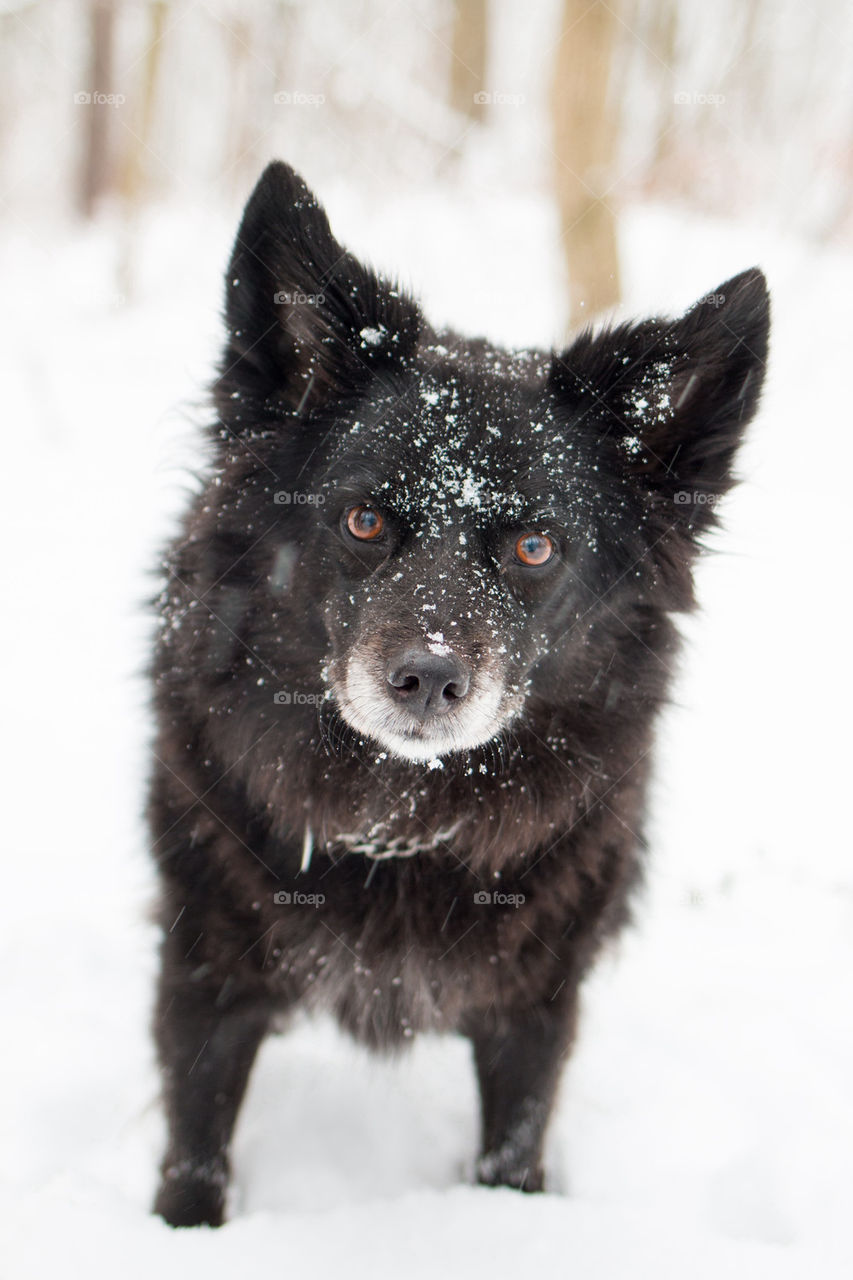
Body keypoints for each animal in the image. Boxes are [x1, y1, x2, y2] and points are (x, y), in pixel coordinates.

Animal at [149, 162, 768, 1228]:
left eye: (535, 547)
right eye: (363, 521)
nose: (430, 678)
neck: (401, 821)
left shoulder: (534, 1006)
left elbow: (512, 1149)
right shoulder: (203, 973)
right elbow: (195, 1154)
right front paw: (180, 1235)